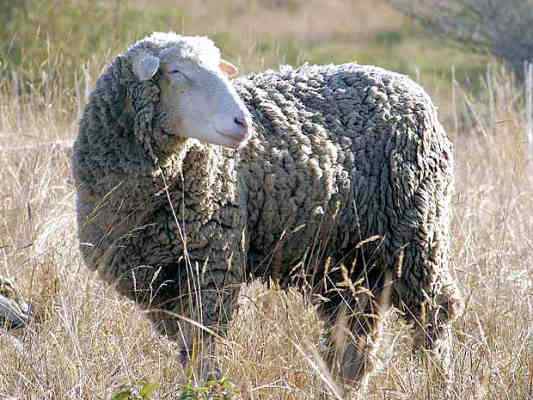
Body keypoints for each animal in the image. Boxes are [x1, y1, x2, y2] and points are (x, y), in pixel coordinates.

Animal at [72, 32, 464, 390]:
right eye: (177, 71)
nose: (242, 123)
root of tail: (407, 84)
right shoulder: (158, 283)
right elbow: (187, 346)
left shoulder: (212, 264)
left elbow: (201, 346)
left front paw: (204, 390)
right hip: (351, 260)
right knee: (353, 339)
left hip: (416, 236)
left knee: (433, 318)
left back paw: (439, 382)